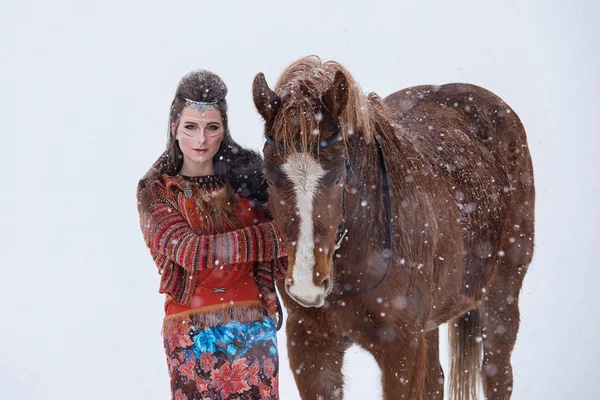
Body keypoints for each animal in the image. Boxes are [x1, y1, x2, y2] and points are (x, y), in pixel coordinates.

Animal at [252, 57, 536, 400]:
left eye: (339, 177)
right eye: (269, 177)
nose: (307, 285)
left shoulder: (402, 348)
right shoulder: (310, 344)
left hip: (502, 293)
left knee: (497, 372)